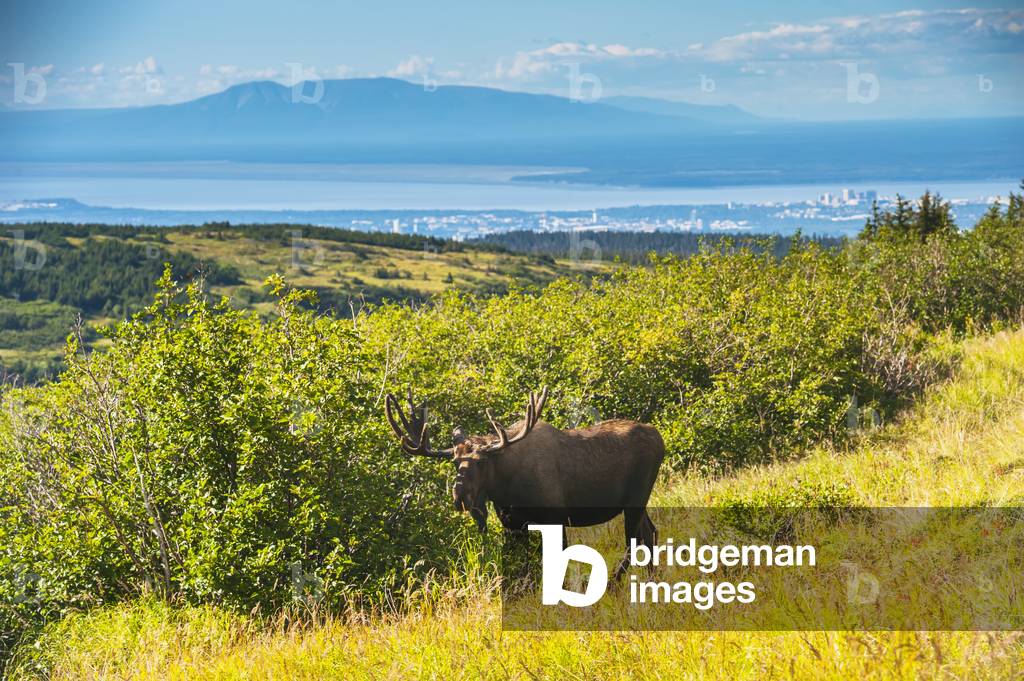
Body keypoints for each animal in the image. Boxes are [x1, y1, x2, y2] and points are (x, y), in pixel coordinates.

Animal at [385, 387, 665, 578]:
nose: (459, 496)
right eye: (455, 461)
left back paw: (615, 582)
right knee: (649, 533)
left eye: (481, 462)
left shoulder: (555, 519)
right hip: (637, 503)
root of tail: (660, 440)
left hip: (636, 499)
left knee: (633, 542)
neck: (506, 488)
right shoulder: (513, 525)